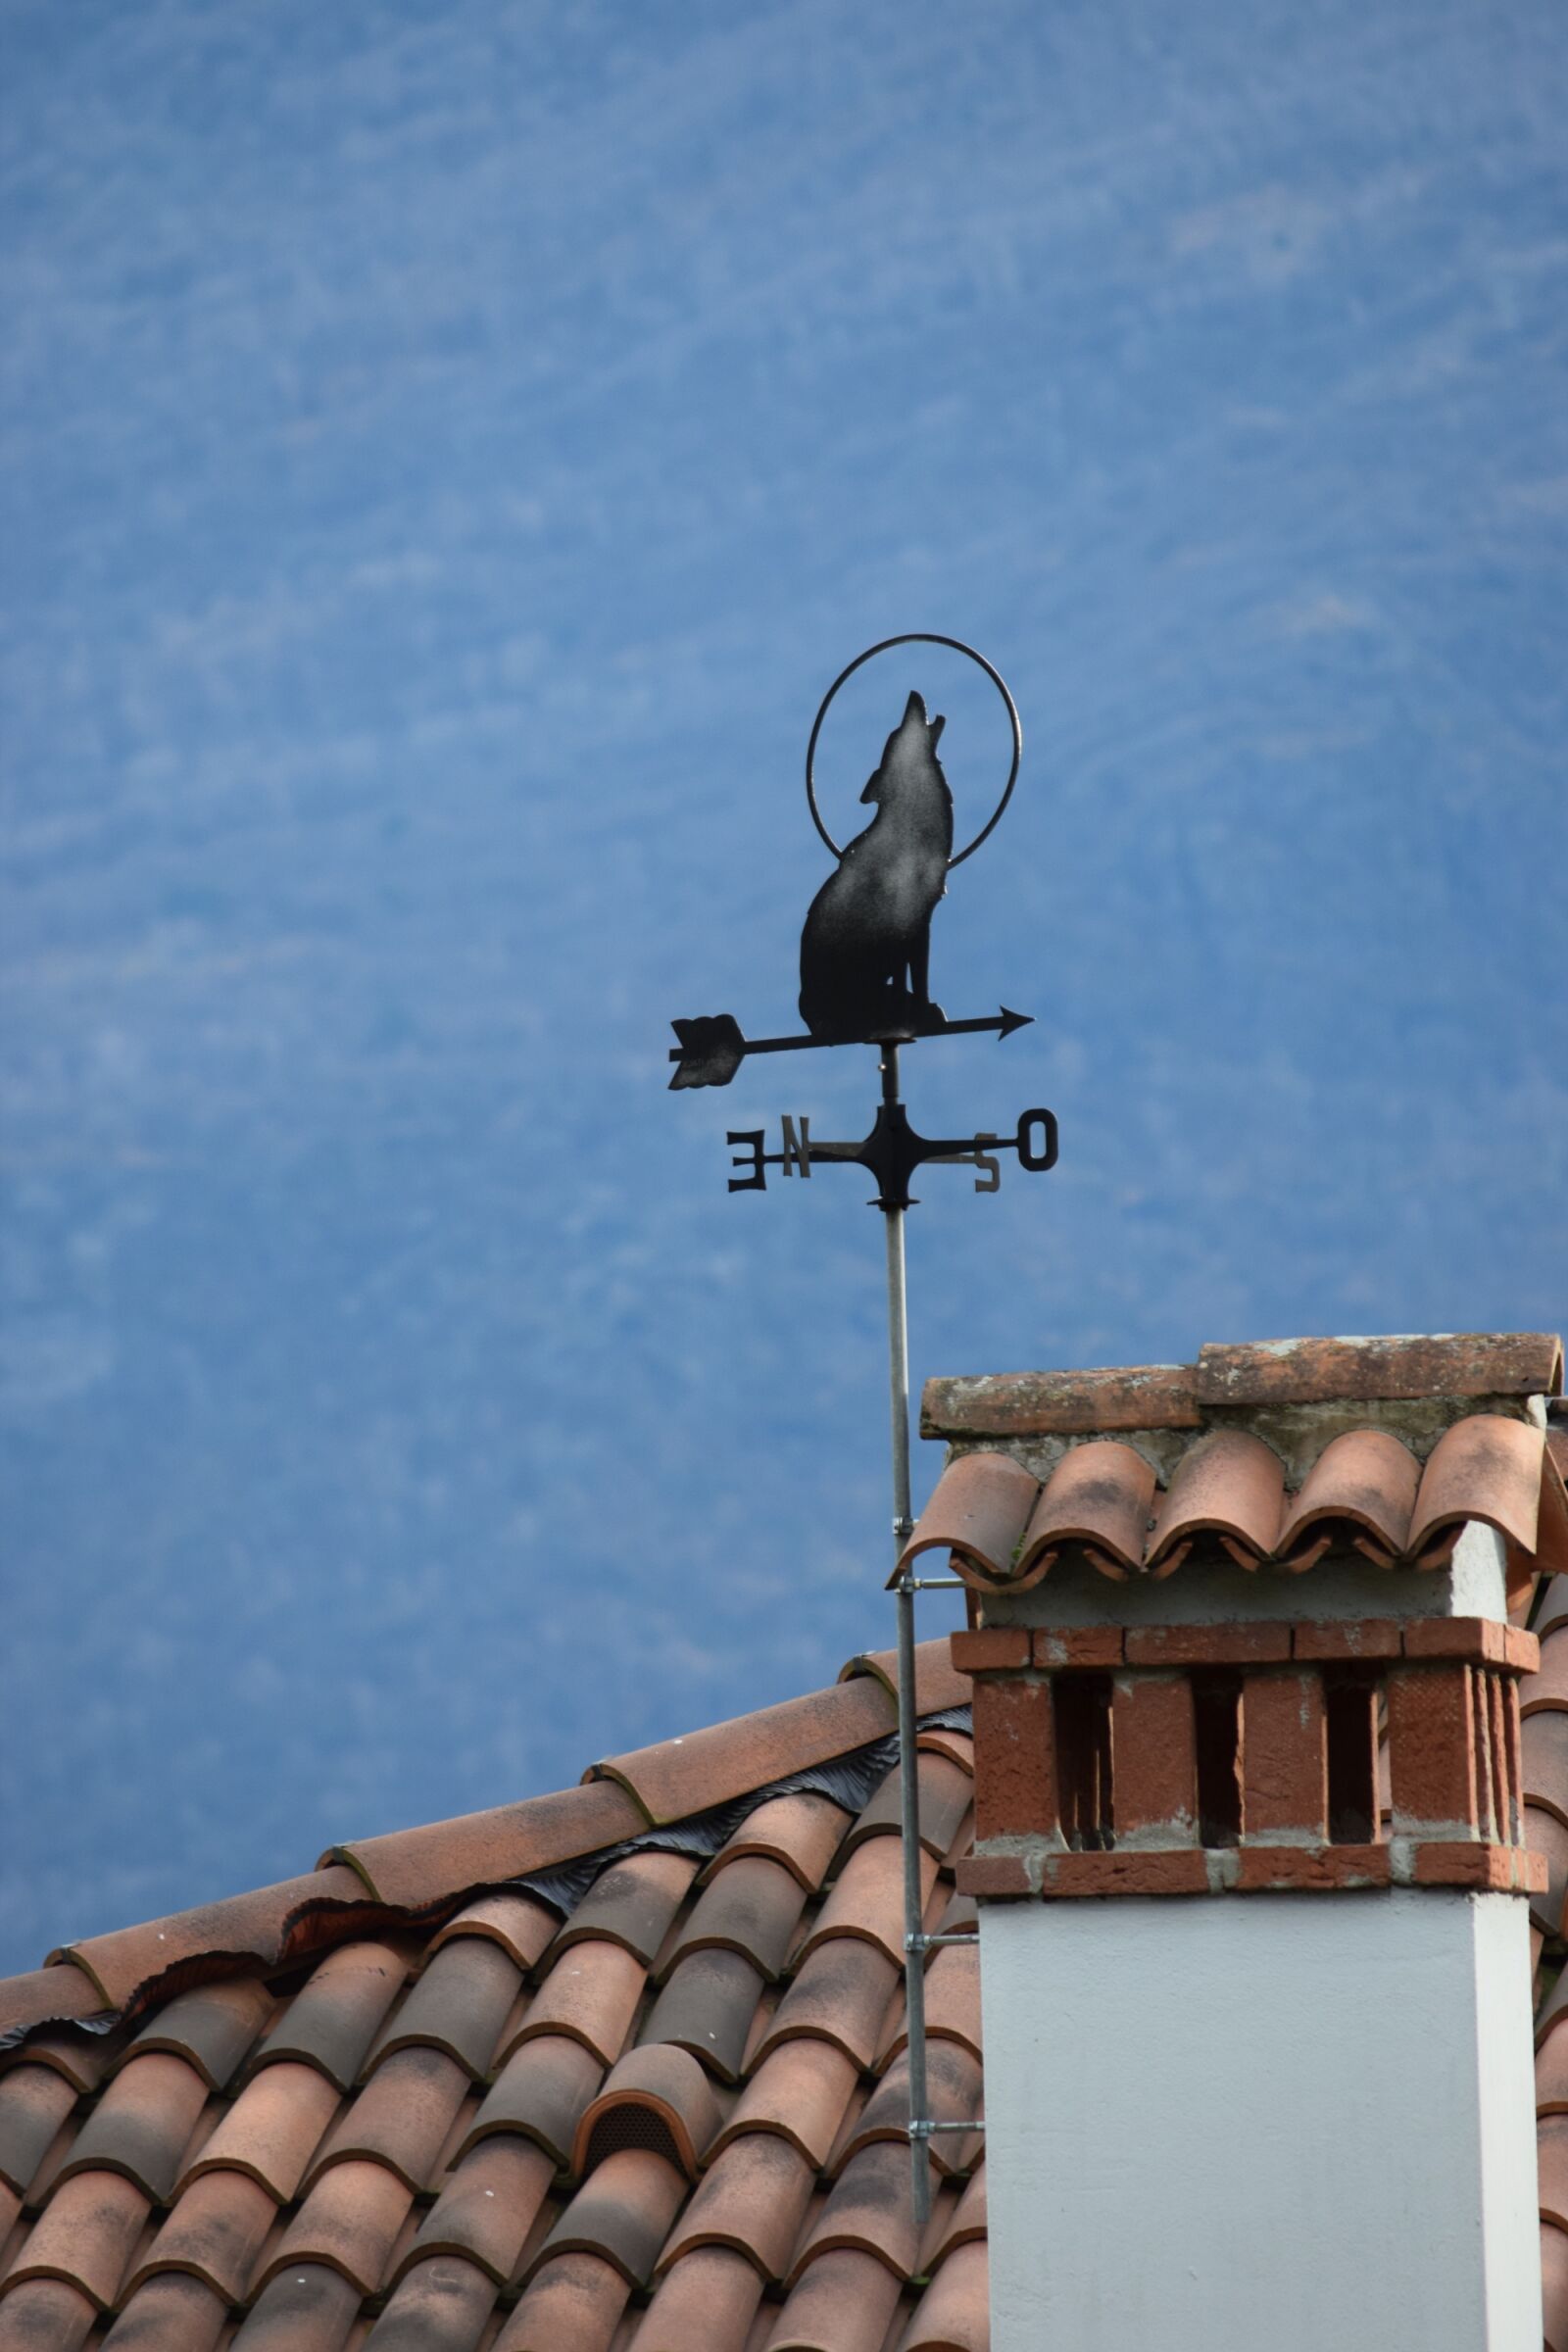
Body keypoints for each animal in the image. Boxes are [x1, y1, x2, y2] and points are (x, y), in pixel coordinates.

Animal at [798, 690, 954, 1039]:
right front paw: (919, 1012)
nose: (913, 695)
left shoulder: (920, 919)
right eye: (896, 733)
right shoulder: (909, 921)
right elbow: (916, 977)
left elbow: (911, 978)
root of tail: (809, 1021)